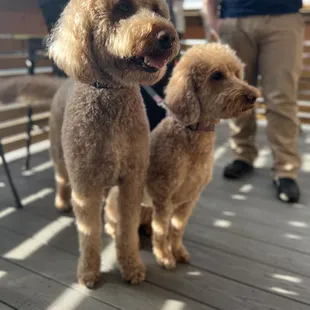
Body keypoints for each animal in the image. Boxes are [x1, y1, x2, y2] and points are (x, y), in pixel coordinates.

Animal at [47, 0, 179, 286]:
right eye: (123, 7)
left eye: (157, 9)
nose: (168, 36)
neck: (111, 93)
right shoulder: (85, 185)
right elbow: (88, 232)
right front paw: (88, 272)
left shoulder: (132, 179)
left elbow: (127, 227)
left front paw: (131, 266)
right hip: (61, 155)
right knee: (61, 179)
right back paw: (61, 202)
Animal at [105, 43, 260, 268]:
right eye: (217, 75)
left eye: (237, 73)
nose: (253, 95)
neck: (191, 134)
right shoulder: (164, 197)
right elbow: (162, 231)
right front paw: (165, 257)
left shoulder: (189, 199)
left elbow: (177, 229)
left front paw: (178, 251)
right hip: (118, 203)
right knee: (114, 224)